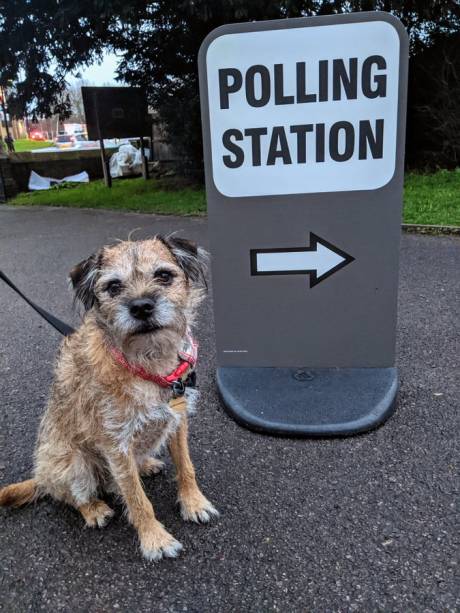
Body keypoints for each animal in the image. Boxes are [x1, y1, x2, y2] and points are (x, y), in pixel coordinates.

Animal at [0, 234, 218, 560]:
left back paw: (147, 464)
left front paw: (194, 502)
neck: (147, 362)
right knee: (73, 496)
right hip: (72, 463)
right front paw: (154, 539)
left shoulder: (177, 420)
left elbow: (186, 467)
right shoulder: (117, 446)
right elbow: (137, 498)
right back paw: (94, 509)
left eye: (164, 275)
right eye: (114, 286)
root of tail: (41, 477)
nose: (141, 307)